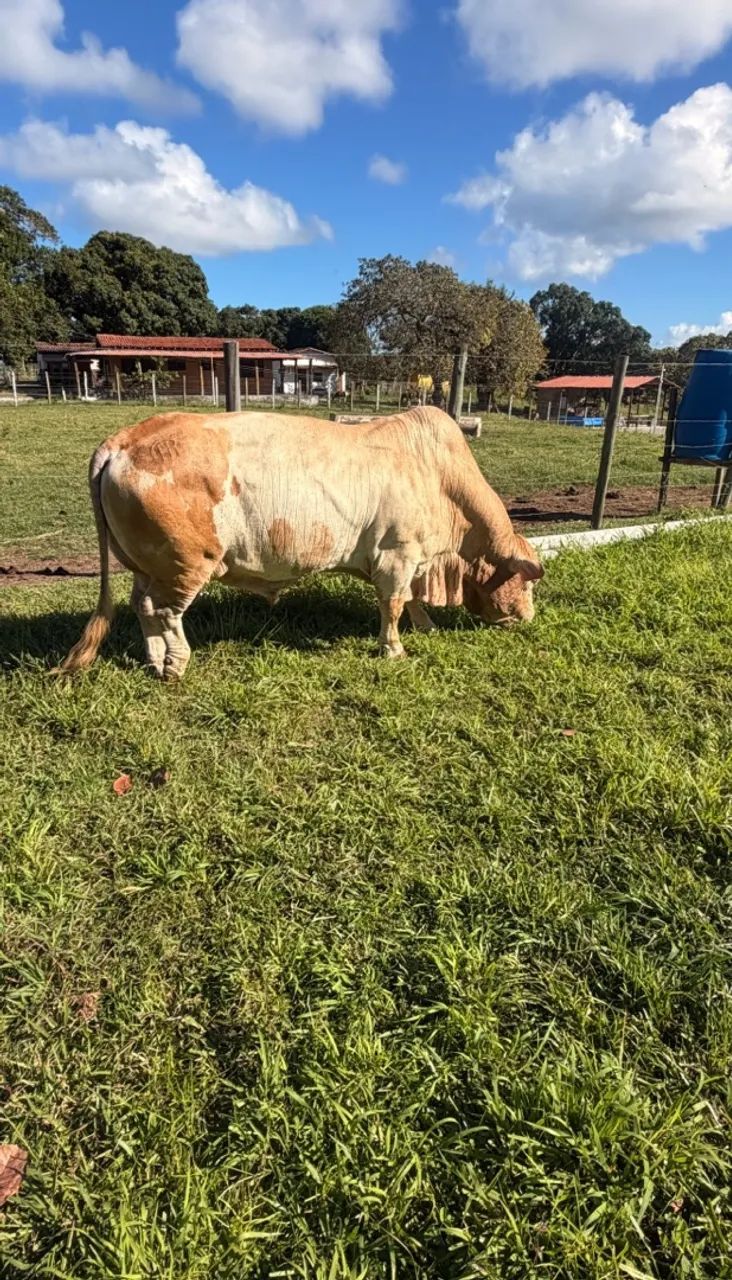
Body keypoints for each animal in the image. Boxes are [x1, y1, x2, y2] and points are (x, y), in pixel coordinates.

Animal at [57, 406, 543, 680]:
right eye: (528, 581)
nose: (529, 617)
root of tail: (125, 438)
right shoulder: (396, 556)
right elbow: (393, 605)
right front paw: (394, 648)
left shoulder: (412, 561)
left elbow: (410, 602)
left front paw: (425, 626)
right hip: (187, 563)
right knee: (162, 612)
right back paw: (175, 663)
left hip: (149, 565)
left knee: (141, 605)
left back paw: (156, 660)